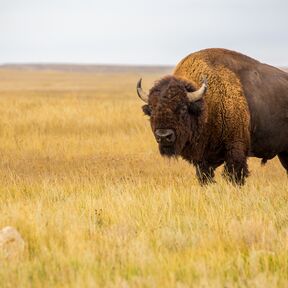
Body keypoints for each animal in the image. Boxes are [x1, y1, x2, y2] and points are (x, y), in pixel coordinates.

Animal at [136, 48, 288, 186]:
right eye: (151, 109)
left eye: (183, 108)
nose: (163, 136)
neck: (206, 104)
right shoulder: (203, 160)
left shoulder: (235, 150)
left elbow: (235, 176)